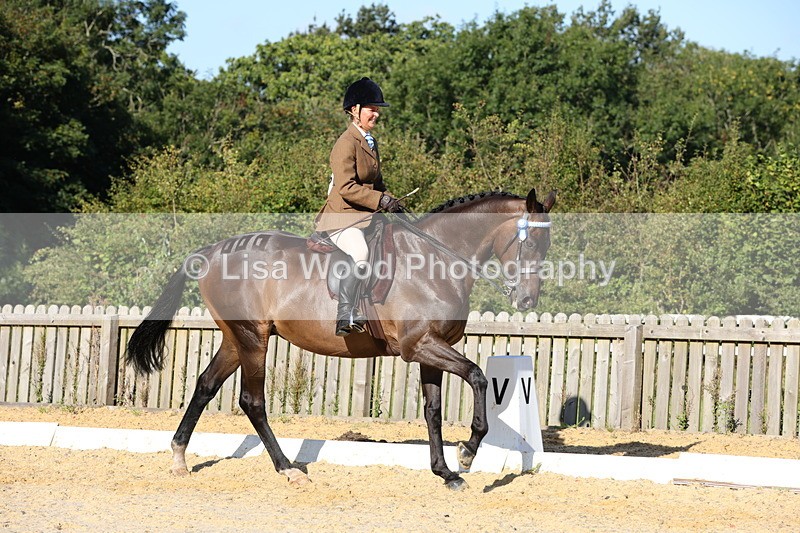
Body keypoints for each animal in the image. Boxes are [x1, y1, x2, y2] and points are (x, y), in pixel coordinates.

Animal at [126, 188, 556, 491]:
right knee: (252, 401)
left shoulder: (430, 349)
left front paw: (446, 472)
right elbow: (479, 377)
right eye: (532, 243)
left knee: (205, 385)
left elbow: (432, 411)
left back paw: (179, 457)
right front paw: (467, 452)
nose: (527, 300)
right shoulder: (420, 345)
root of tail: (211, 252)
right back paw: (289, 470)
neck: (435, 260)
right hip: (253, 339)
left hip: (237, 339)